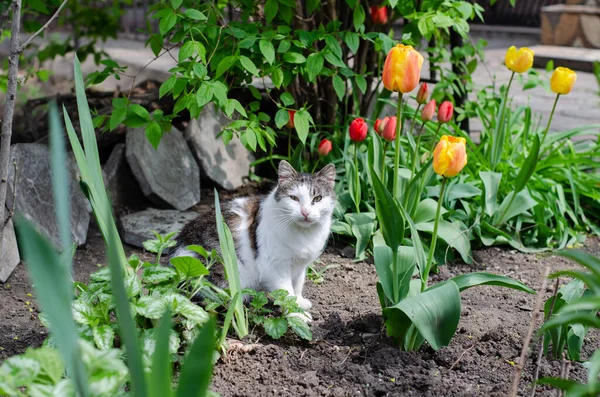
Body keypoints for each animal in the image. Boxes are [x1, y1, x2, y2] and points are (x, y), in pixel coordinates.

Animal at [170, 159, 338, 310]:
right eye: (294, 198)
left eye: (317, 198)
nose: (305, 212)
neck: (304, 234)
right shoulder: (274, 267)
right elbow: (286, 294)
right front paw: (297, 315)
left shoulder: (300, 266)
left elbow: (297, 285)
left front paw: (300, 302)